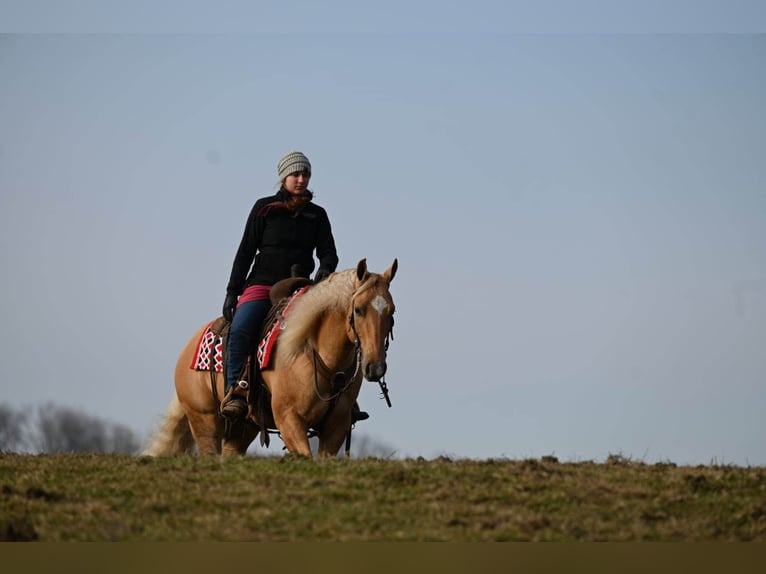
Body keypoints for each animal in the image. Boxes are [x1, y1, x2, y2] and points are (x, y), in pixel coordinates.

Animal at [142, 260, 402, 460]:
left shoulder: (336, 426)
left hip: (241, 428)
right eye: (358, 310)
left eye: (391, 311)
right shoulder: (289, 419)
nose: (375, 367)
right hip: (204, 421)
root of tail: (187, 351)